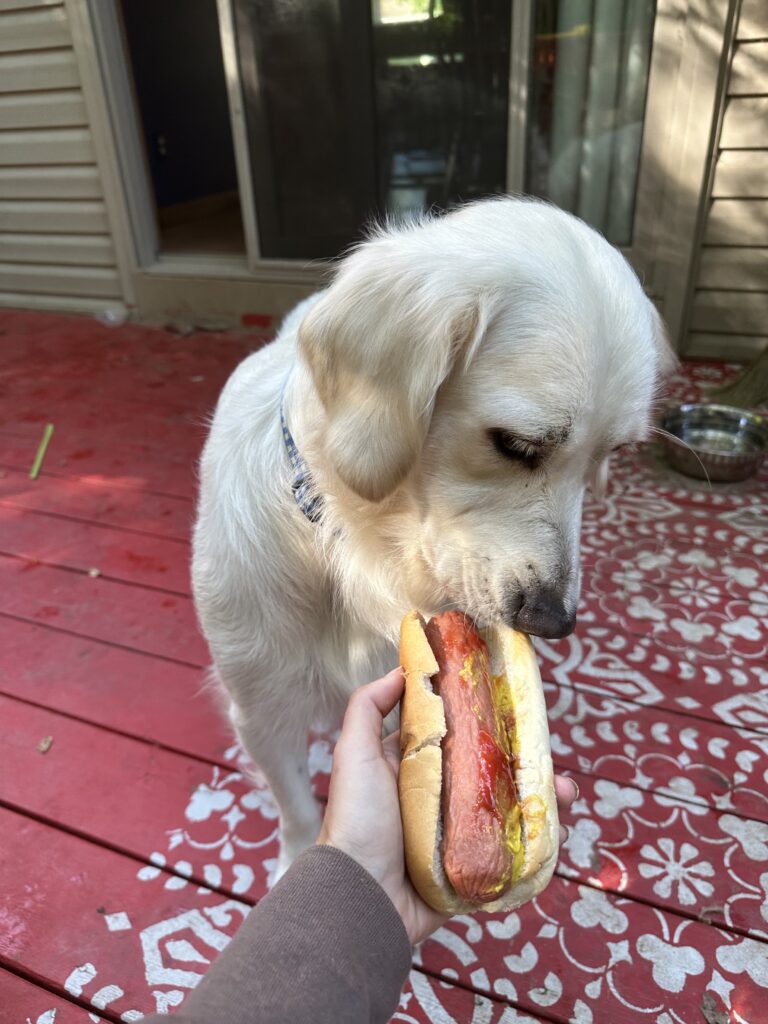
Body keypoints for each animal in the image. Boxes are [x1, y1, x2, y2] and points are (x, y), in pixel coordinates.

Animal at [192, 196, 672, 876]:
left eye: (610, 457)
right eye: (515, 444)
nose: (554, 621)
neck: (361, 554)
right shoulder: (260, 709)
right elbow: (297, 808)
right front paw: (291, 859)